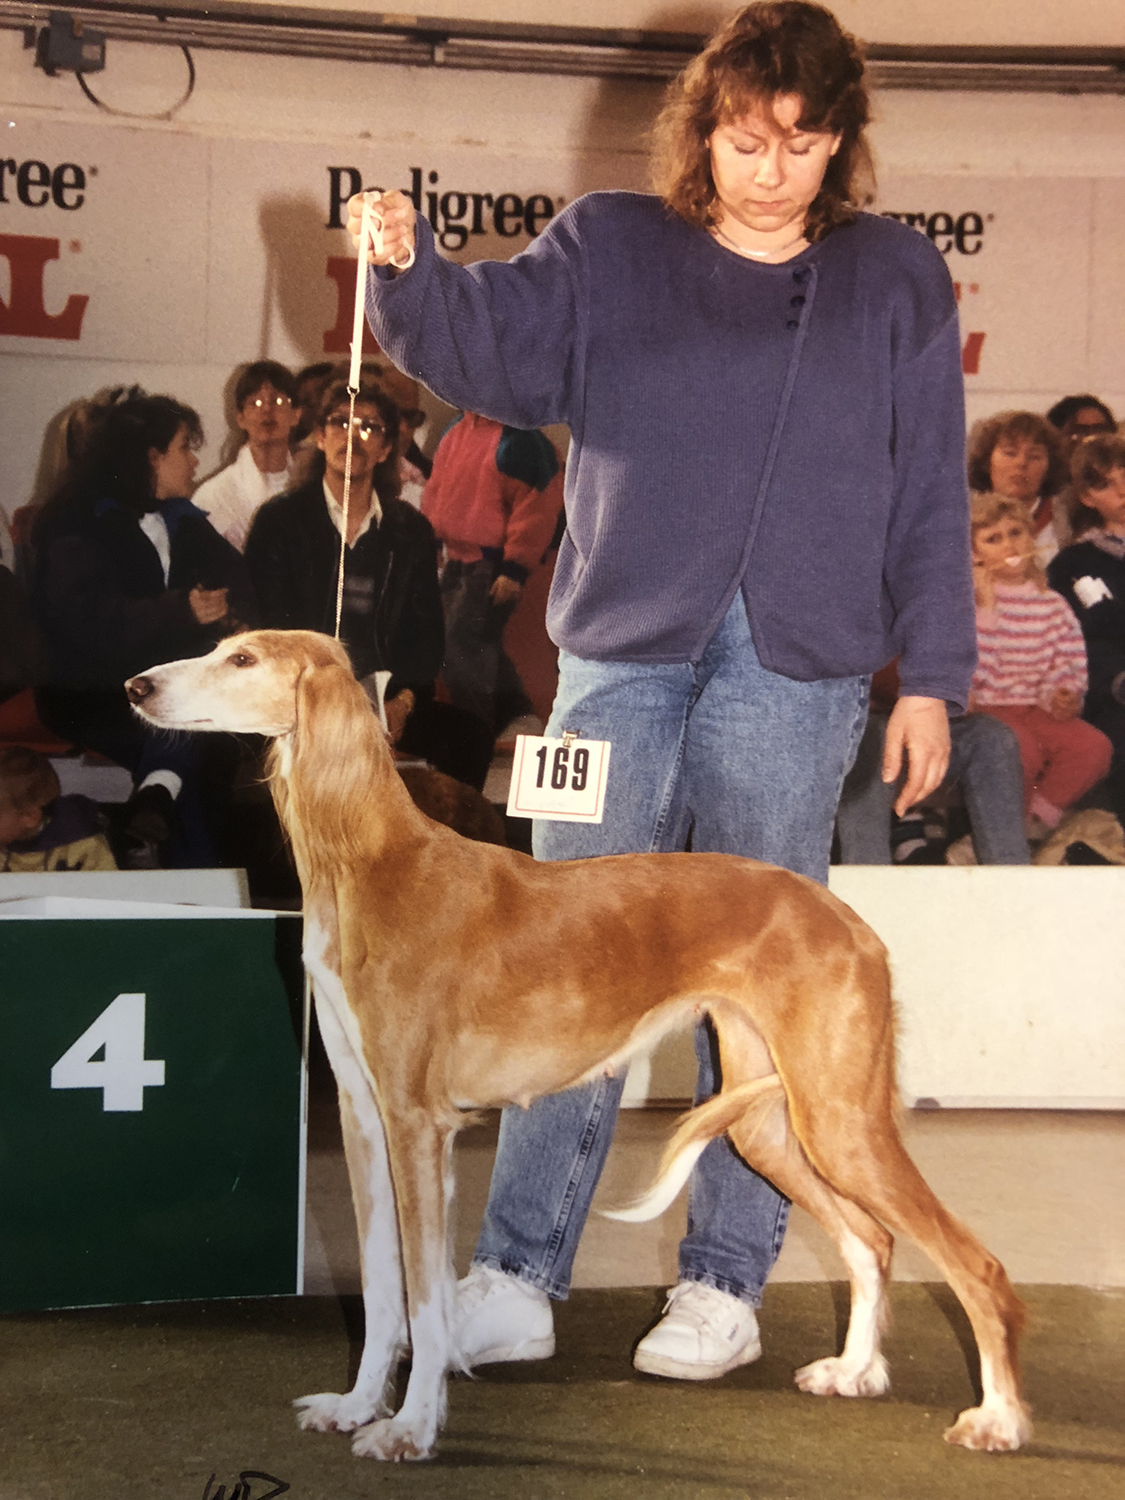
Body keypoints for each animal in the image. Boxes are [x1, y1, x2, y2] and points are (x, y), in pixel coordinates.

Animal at [127, 633, 1038, 1464]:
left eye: (242, 659)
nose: (137, 686)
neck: (371, 863)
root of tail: (852, 922)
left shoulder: (418, 1124)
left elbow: (423, 1299)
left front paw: (411, 1428)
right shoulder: (361, 1116)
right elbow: (384, 1293)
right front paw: (356, 1406)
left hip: (838, 1118)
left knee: (976, 1267)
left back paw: (995, 1419)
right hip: (771, 1127)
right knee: (871, 1241)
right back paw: (853, 1372)